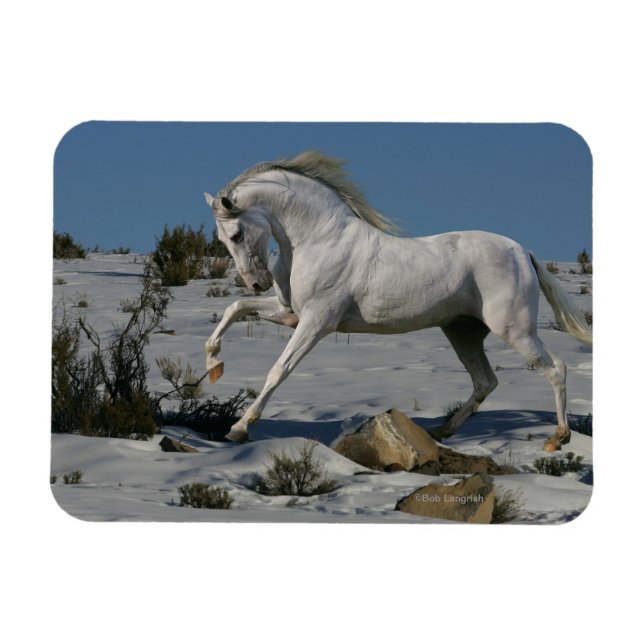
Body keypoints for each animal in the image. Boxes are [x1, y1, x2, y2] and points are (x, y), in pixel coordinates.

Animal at [203, 151, 592, 451]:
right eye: (222, 240)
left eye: (236, 234)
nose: (257, 282)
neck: (317, 239)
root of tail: (523, 252)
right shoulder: (290, 314)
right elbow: (234, 309)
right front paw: (213, 365)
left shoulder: (316, 321)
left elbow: (278, 370)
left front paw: (238, 428)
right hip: (463, 332)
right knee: (485, 382)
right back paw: (441, 431)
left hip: (514, 329)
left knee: (555, 369)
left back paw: (557, 438)